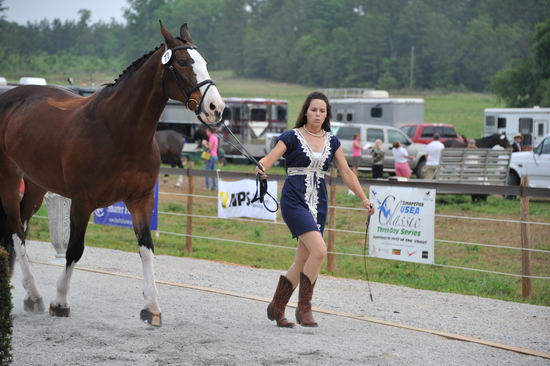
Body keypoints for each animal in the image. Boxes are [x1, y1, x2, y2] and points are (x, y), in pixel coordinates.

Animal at [0, 22, 226, 326]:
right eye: (182, 62)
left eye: (205, 63)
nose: (216, 108)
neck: (118, 131)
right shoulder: (82, 203)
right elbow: (74, 249)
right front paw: (60, 301)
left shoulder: (141, 200)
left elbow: (146, 248)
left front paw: (151, 307)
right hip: (9, 179)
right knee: (15, 230)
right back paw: (35, 295)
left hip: (35, 185)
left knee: (20, 228)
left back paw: (27, 292)